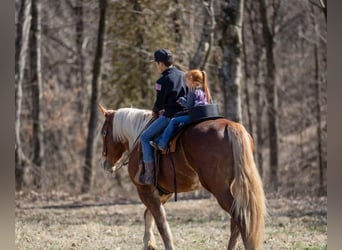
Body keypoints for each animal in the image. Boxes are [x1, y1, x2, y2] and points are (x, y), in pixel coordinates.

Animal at [97, 104, 266, 249]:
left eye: (104, 133)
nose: (105, 164)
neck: (139, 138)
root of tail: (230, 126)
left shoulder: (145, 190)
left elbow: (161, 222)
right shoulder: (164, 192)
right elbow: (149, 215)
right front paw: (149, 243)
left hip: (219, 189)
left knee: (240, 218)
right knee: (235, 221)